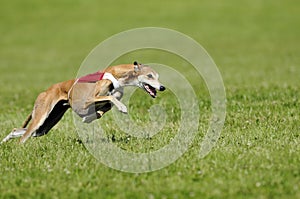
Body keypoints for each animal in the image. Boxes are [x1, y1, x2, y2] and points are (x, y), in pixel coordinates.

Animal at [1, 61, 165, 144]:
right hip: (41, 116)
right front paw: (123, 108)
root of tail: (45, 91)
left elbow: (104, 107)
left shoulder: (107, 102)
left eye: (157, 76)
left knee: (19, 130)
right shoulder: (88, 100)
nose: (162, 87)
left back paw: (6, 141)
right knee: (24, 136)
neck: (118, 76)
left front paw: (89, 118)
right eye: (149, 76)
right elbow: (110, 98)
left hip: (46, 125)